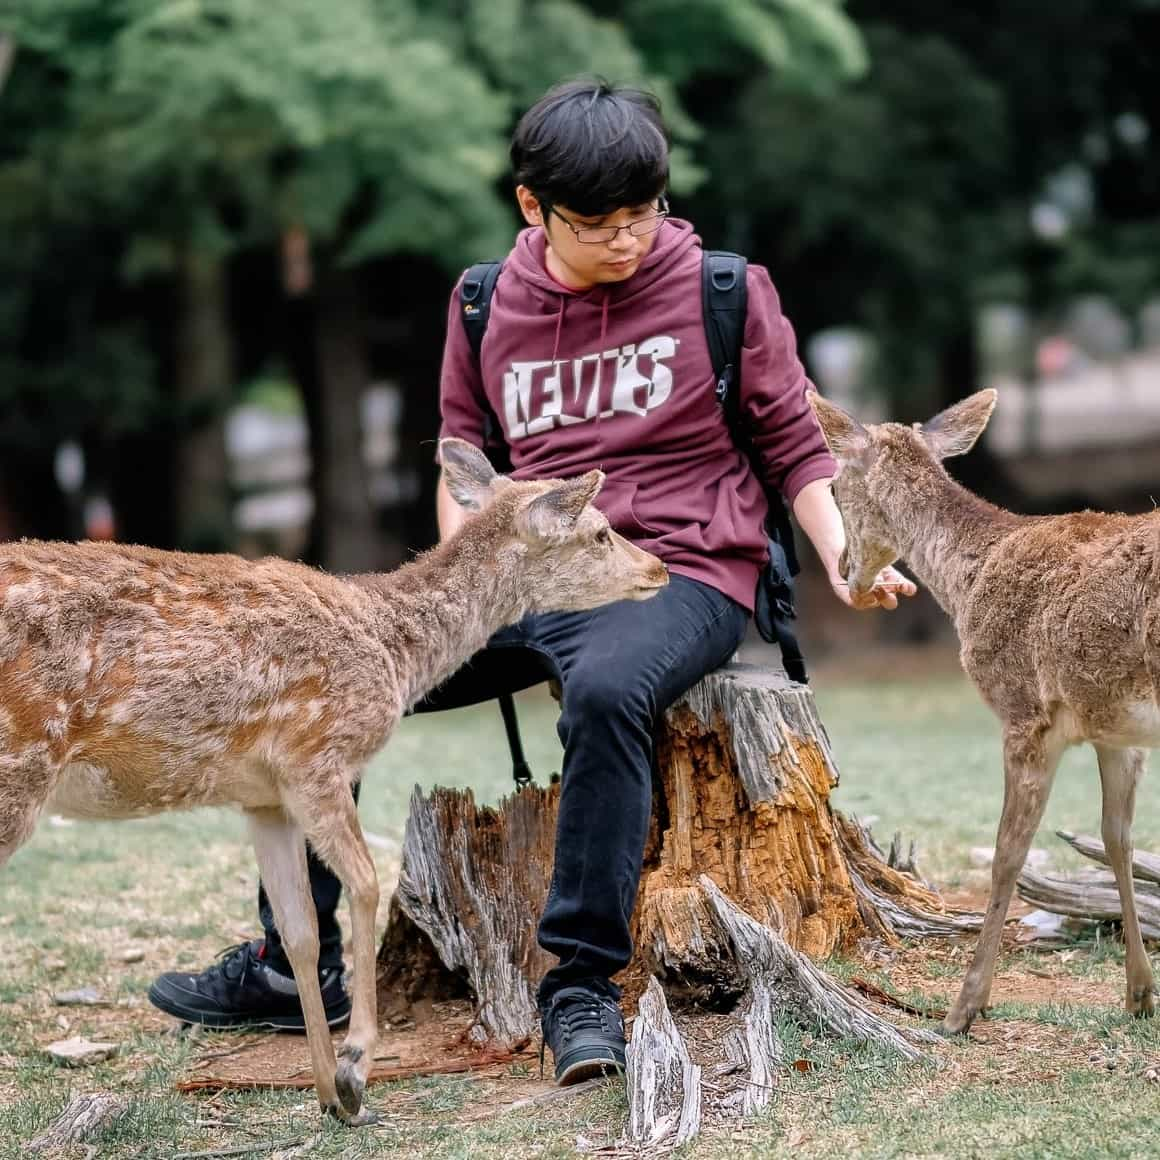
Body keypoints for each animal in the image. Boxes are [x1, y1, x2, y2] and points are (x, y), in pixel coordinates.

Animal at [0, 438, 668, 1118]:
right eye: (600, 531)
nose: (660, 568)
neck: (391, 649)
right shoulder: (315, 758)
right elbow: (367, 885)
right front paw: (356, 1064)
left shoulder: (263, 798)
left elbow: (298, 928)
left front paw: (332, 1094)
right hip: (19, 763)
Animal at [807, 389, 1160, 1034]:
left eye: (836, 487)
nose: (843, 566)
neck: (967, 583)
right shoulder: (1115, 730)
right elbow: (1116, 839)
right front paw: (1140, 994)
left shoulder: (1023, 711)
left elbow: (1006, 854)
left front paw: (963, 1007)